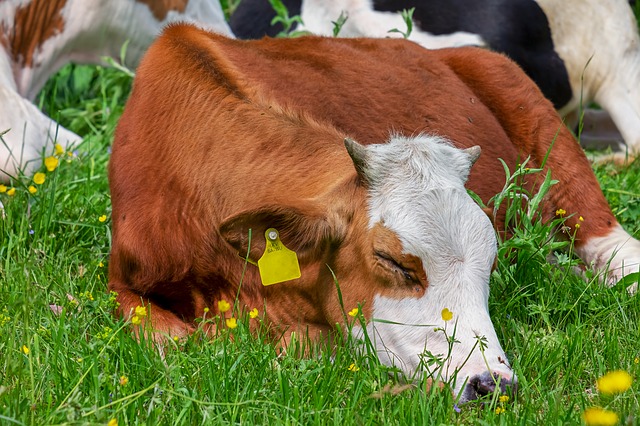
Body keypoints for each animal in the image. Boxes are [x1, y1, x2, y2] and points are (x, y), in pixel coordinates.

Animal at [108, 24, 640, 403]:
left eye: (490, 264)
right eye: (394, 263)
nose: (491, 384)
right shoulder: (120, 280)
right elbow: (170, 341)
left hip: (552, 138)